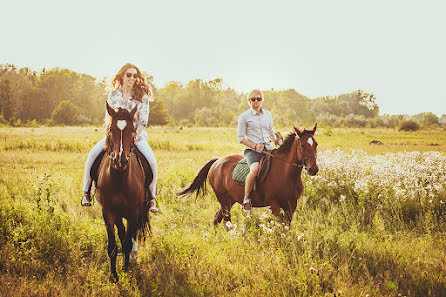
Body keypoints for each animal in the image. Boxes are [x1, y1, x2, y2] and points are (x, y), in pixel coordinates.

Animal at [94, 103, 152, 280]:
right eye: (110, 130)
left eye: (132, 131)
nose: (120, 160)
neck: (120, 179)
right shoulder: (108, 212)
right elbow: (113, 245)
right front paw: (114, 275)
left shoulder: (134, 212)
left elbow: (127, 242)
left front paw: (126, 268)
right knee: (122, 233)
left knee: (131, 236)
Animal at [176, 123, 318, 224]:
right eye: (302, 145)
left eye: (316, 144)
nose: (313, 169)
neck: (286, 174)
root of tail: (217, 161)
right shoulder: (273, 204)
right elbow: (282, 223)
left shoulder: (292, 204)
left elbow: (286, 225)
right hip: (224, 200)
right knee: (227, 222)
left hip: (230, 200)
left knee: (216, 218)